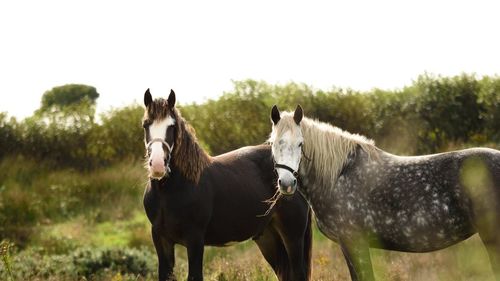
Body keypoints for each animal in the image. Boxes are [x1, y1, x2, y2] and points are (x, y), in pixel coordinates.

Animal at [143, 89, 310, 280]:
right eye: (145, 125)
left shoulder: (195, 240)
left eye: (171, 127)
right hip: (268, 237)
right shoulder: (161, 239)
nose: (157, 165)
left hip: (293, 236)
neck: (172, 190)